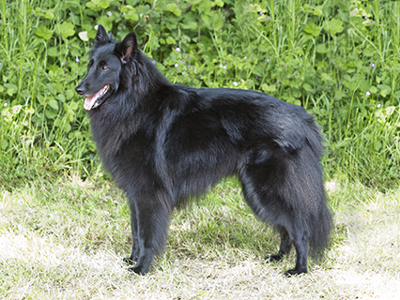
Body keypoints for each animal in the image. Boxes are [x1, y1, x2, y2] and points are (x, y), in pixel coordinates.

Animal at [75, 25, 332, 276]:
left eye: (105, 67)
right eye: (90, 64)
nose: (78, 89)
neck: (135, 104)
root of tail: (302, 118)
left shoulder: (148, 193)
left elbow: (146, 235)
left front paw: (141, 268)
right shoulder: (135, 194)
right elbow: (136, 231)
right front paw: (131, 259)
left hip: (265, 190)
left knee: (299, 227)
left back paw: (299, 269)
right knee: (285, 227)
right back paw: (278, 256)